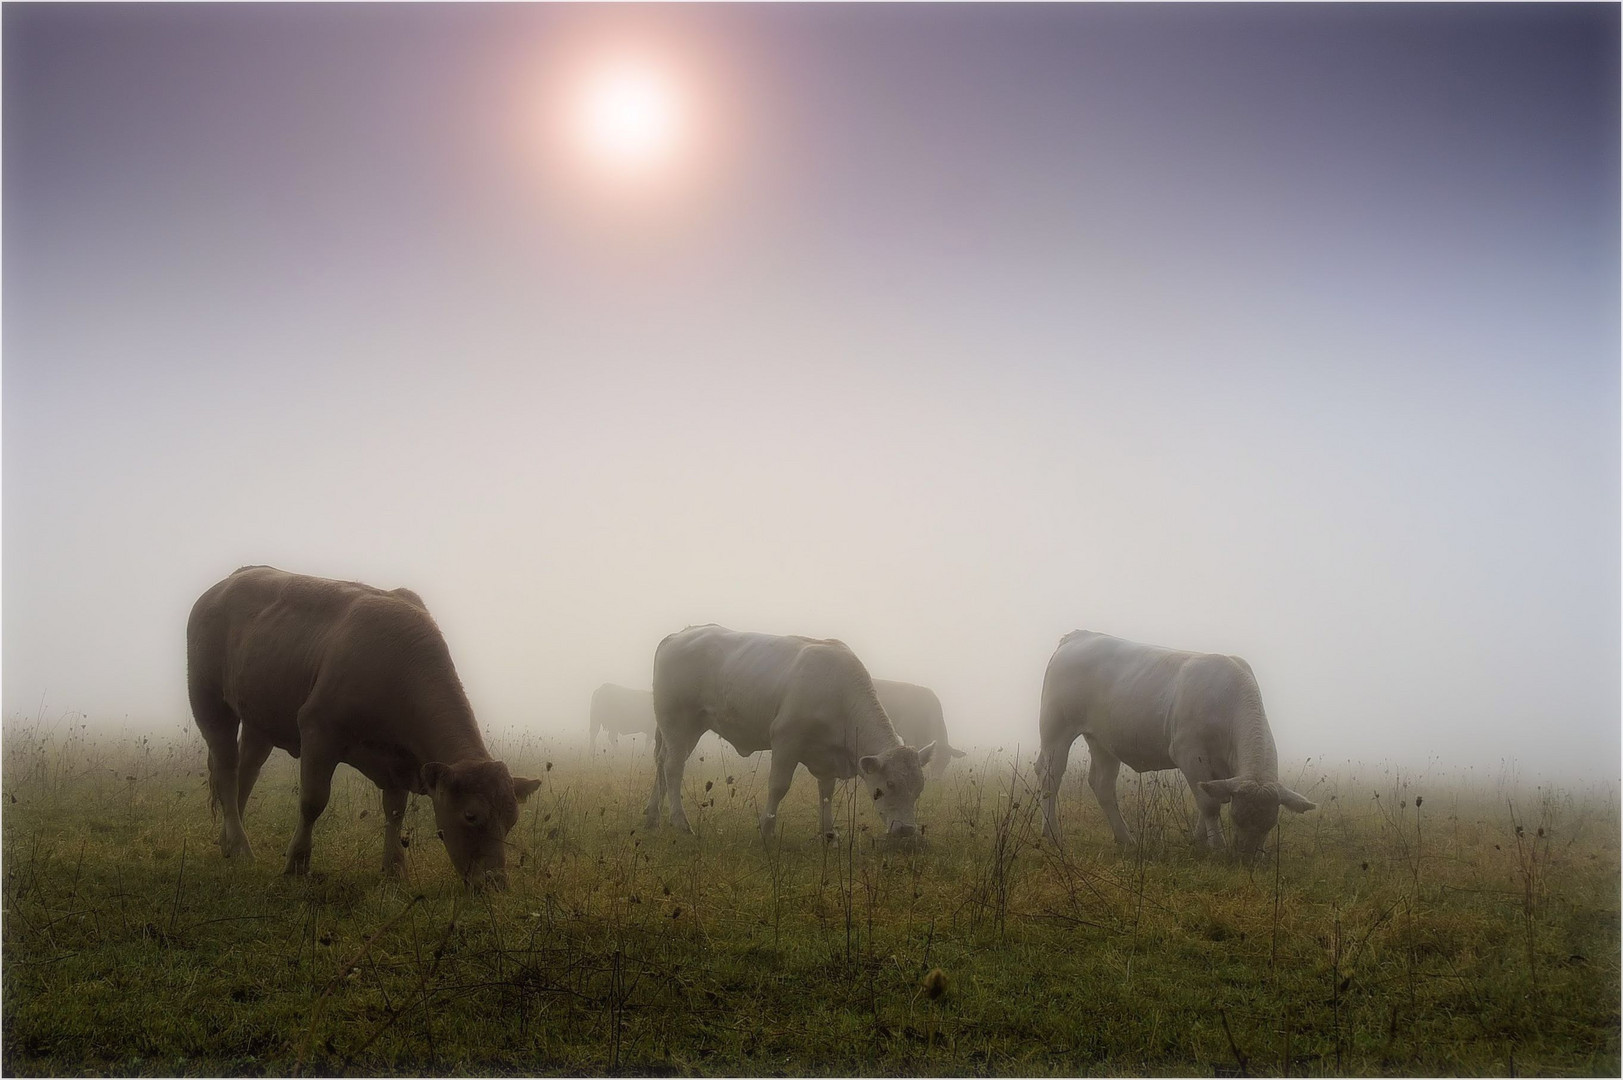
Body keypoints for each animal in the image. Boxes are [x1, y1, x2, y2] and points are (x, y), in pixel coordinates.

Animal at [184, 565, 538, 883]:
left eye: (512, 820)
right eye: (470, 816)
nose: (495, 882)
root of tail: (226, 583)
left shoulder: (400, 759)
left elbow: (394, 811)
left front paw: (394, 870)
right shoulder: (318, 729)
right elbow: (313, 801)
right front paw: (297, 863)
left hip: (260, 720)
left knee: (246, 773)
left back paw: (229, 844)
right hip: (209, 701)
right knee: (227, 771)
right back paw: (240, 847)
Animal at [639, 623, 934, 844]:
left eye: (919, 788)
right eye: (887, 786)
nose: (907, 830)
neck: (839, 693)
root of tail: (678, 635)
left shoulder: (826, 755)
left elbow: (826, 793)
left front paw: (829, 833)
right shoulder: (785, 740)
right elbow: (779, 785)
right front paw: (766, 828)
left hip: (685, 729)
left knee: (661, 763)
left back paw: (652, 816)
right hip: (678, 722)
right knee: (673, 767)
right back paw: (680, 822)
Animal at [1038, 626, 1317, 857]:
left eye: (1271, 823)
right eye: (1237, 818)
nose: (1247, 857)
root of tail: (1079, 635)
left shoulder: (1223, 771)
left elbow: (1210, 796)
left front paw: (1199, 839)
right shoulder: (1189, 753)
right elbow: (1209, 804)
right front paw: (1217, 845)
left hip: (1102, 741)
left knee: (1102, 784)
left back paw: (1125, 838)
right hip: (1055, 729)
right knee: (1051, 775)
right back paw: (1051, 834)